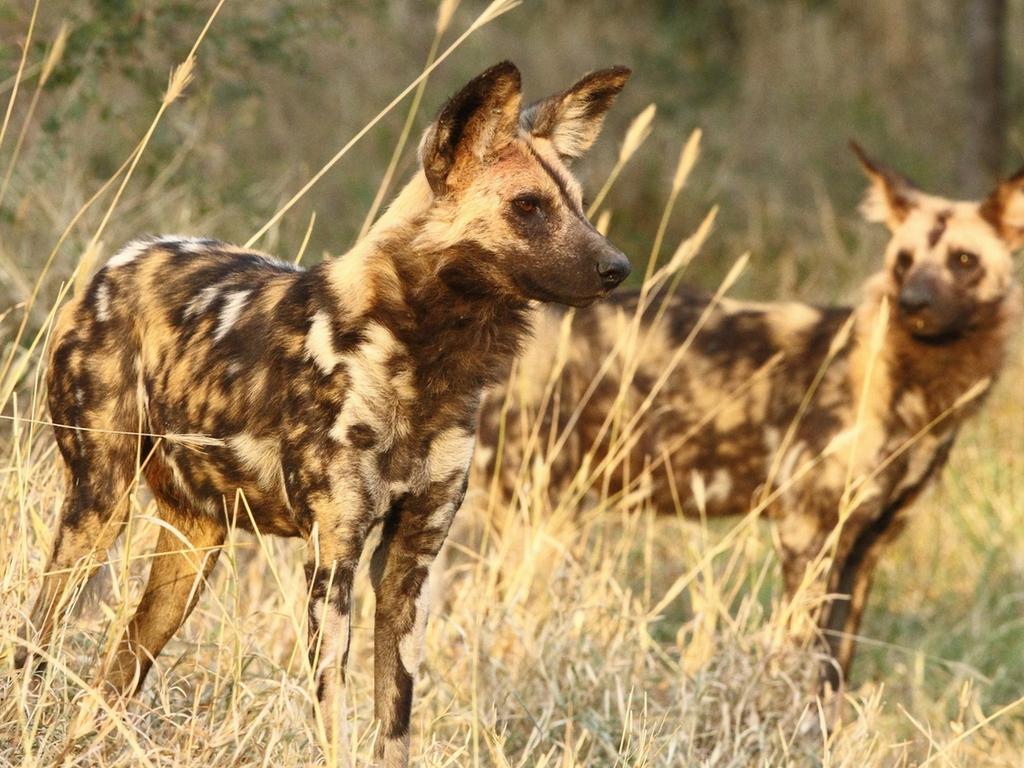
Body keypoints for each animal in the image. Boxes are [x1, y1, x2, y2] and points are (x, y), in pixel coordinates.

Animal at [19, 63, 630, 765]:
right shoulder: (331, 559)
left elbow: (395, 724)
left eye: (578, 204)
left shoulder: (407, 569)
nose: (618, 267)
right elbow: (333, 717)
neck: (427, 362)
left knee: (116, 670)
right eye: (527, 207)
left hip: (194, 550)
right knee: (36, 641)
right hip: (97, 512)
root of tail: (121, 260)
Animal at [477, 144, 1024, 692]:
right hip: (537, 515)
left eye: (963, 260)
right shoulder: (808, 536)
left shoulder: (865, 548)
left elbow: (835, 671)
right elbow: (800, 659)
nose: (913, 304)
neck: (909, 391)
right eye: (904, 261)